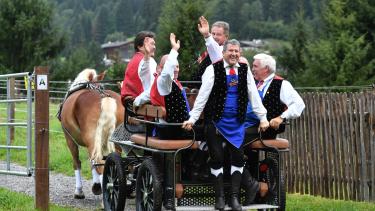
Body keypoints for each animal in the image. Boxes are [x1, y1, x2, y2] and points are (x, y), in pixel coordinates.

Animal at [58, 68, 124, 199]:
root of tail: (104, 97)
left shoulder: (70, 139)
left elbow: (77, 163)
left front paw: (80, 191)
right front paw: (96, 186)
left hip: (91, 139)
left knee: (99, 163)